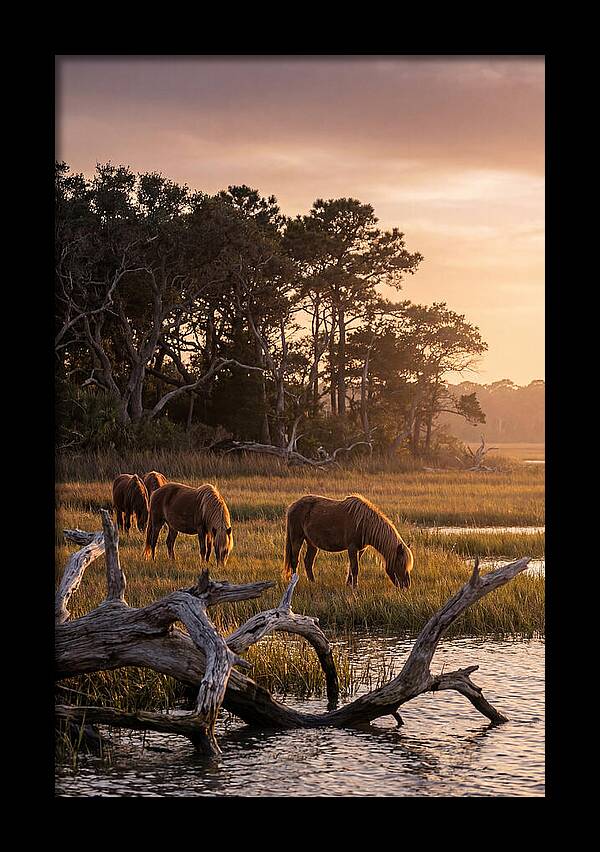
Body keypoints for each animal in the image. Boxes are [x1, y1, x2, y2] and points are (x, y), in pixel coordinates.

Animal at [283, 493, 413, 589]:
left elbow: (352, 567)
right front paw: (355, 587)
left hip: (312, 543)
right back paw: (293, 583)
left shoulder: (360, 550)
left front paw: (349, 584)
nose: (406, 586)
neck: (364, 523)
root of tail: (292, 506)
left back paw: (313, 583)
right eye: (400, 563)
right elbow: (355, 568)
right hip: (297, 539)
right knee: (295, 560)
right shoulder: (352, 548)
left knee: (308, 562)